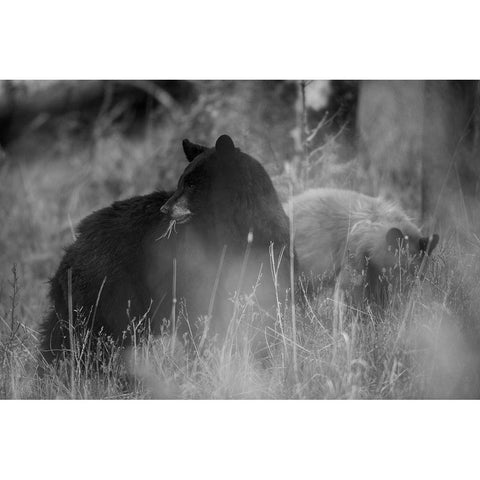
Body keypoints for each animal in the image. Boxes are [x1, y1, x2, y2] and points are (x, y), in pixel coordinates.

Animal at [39, 135, 290, 364]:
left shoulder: (270, 248)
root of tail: (75, 245)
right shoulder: (193, 266)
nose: (165, 209)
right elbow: (201, 312)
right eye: (181, 181)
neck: (233, 227)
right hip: (107, 289)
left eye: (192, 184)